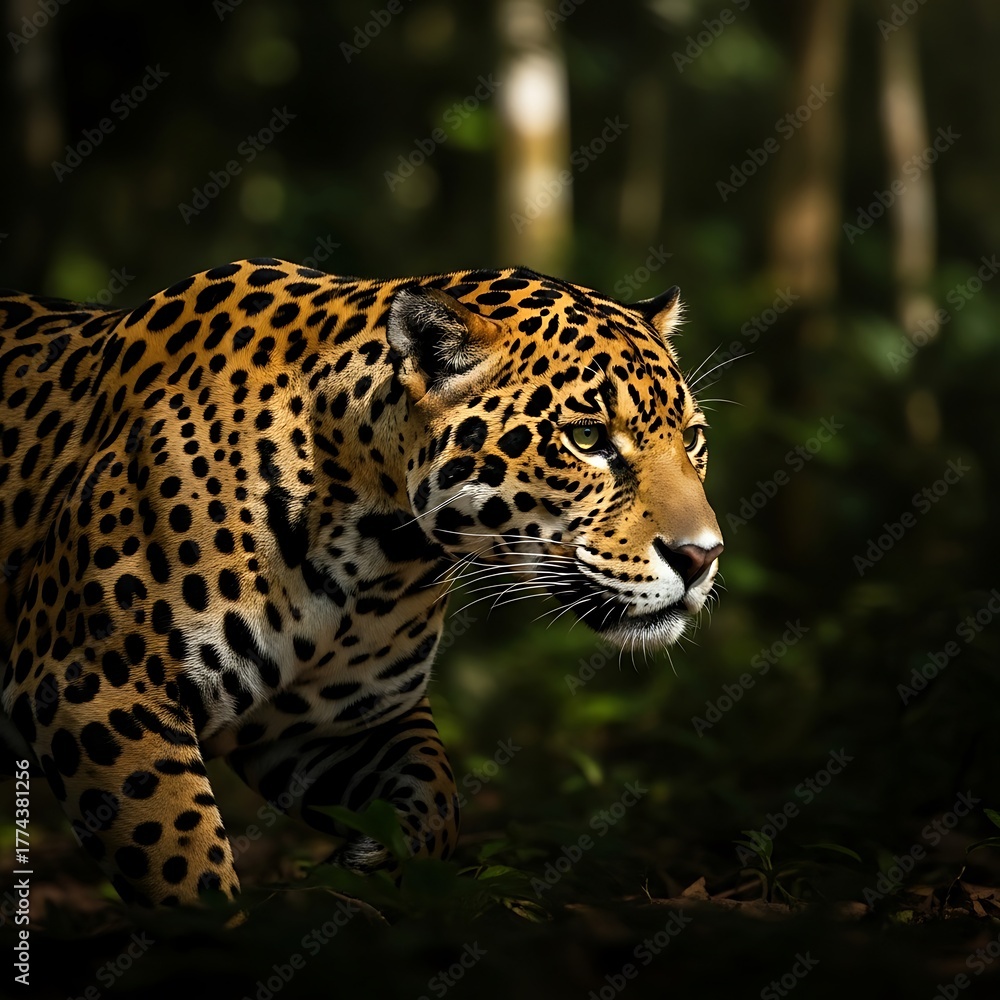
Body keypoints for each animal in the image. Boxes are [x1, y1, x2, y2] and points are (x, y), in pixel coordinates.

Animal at [0, 257, 723, 908]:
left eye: (692, 437)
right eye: (587, 439)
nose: (702, 556)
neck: (377, 543)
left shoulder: (334, 721)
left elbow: (438, 800)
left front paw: (366, 867)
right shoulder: (94, 688)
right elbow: (184, 863)